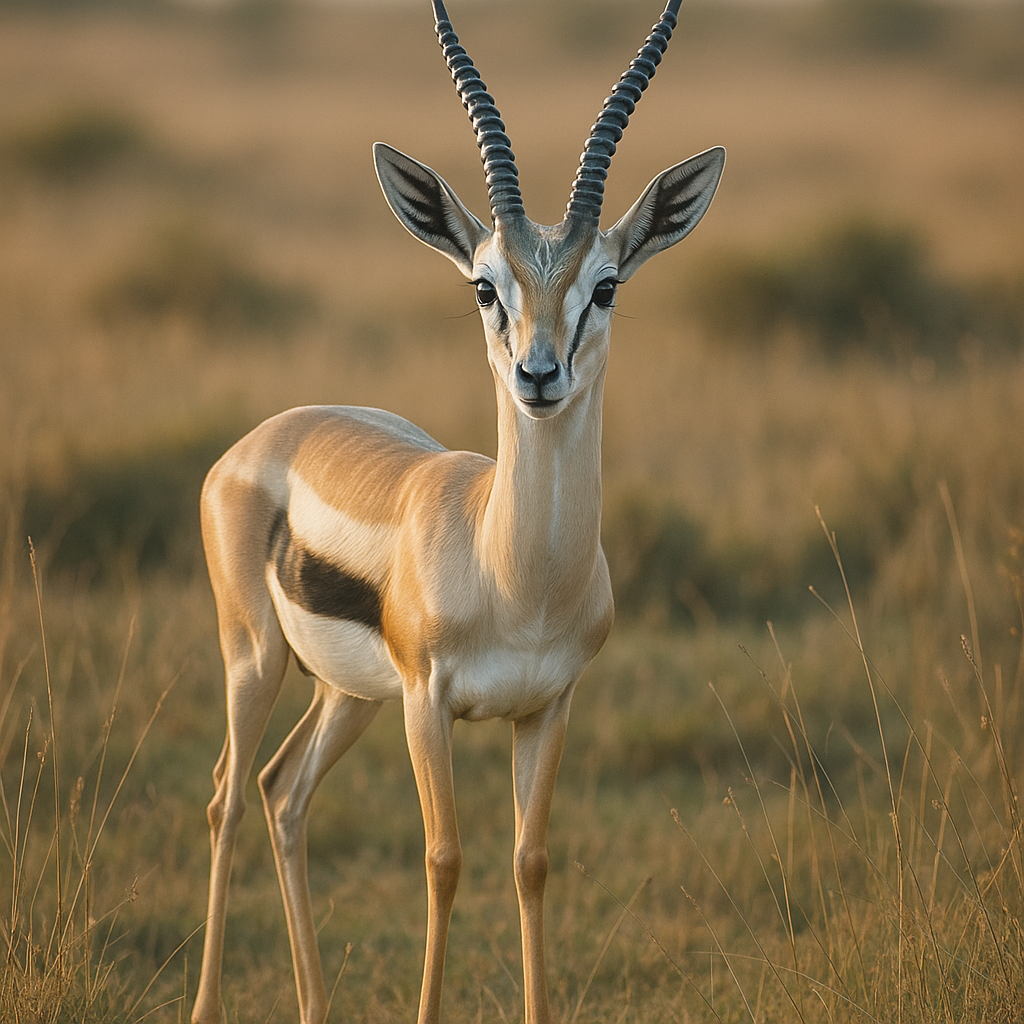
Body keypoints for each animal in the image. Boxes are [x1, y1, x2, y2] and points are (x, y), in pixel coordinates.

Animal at [191, 1, 723, 1022]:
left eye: (605, 287)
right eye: (485, 287)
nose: (538, 375)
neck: (515, 577)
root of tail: (267, 435)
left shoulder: (548, 708)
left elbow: (531, 862)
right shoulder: (428, 703)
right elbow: (443, 861)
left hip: (348, 694)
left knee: (284, 794)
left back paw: (316, 1005)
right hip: (258, 660)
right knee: (228, 796)